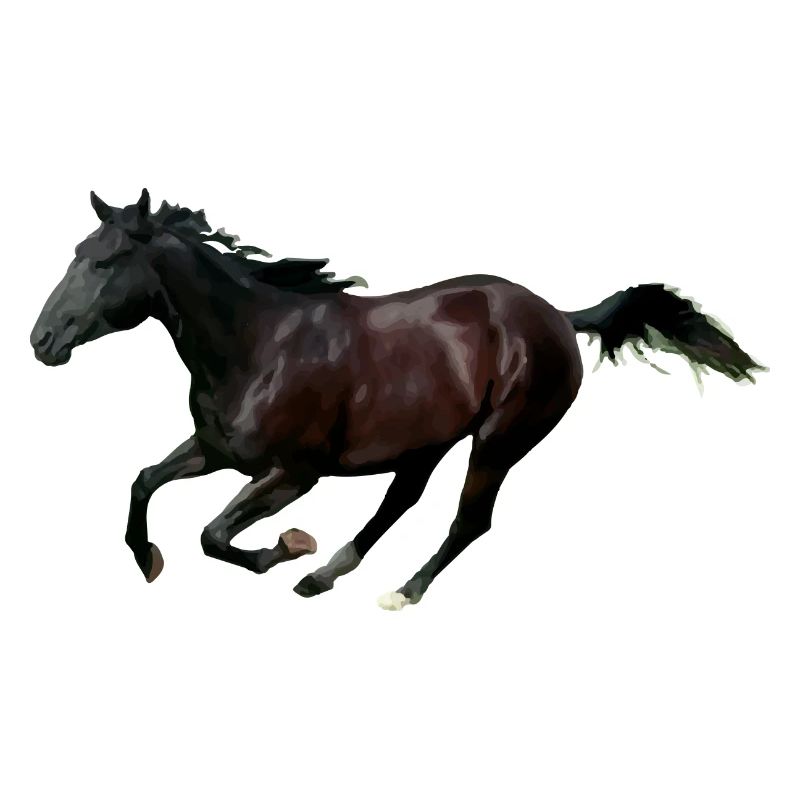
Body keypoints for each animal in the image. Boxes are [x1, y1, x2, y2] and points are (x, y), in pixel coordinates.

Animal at [30, 189, 763, 610]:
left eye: (106, 261)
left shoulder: (294, 472)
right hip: (428, 439)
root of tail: (557, 315)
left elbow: (213, 534)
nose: (41, 340)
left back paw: (397, 592)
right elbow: (142, 482)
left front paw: (287, 546)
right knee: (399, 502)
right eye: (78, 249)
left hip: (499, 440)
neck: (258, 343)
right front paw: (148, 559)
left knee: (468, 521)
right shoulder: (218, 450)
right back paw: (326, 575)